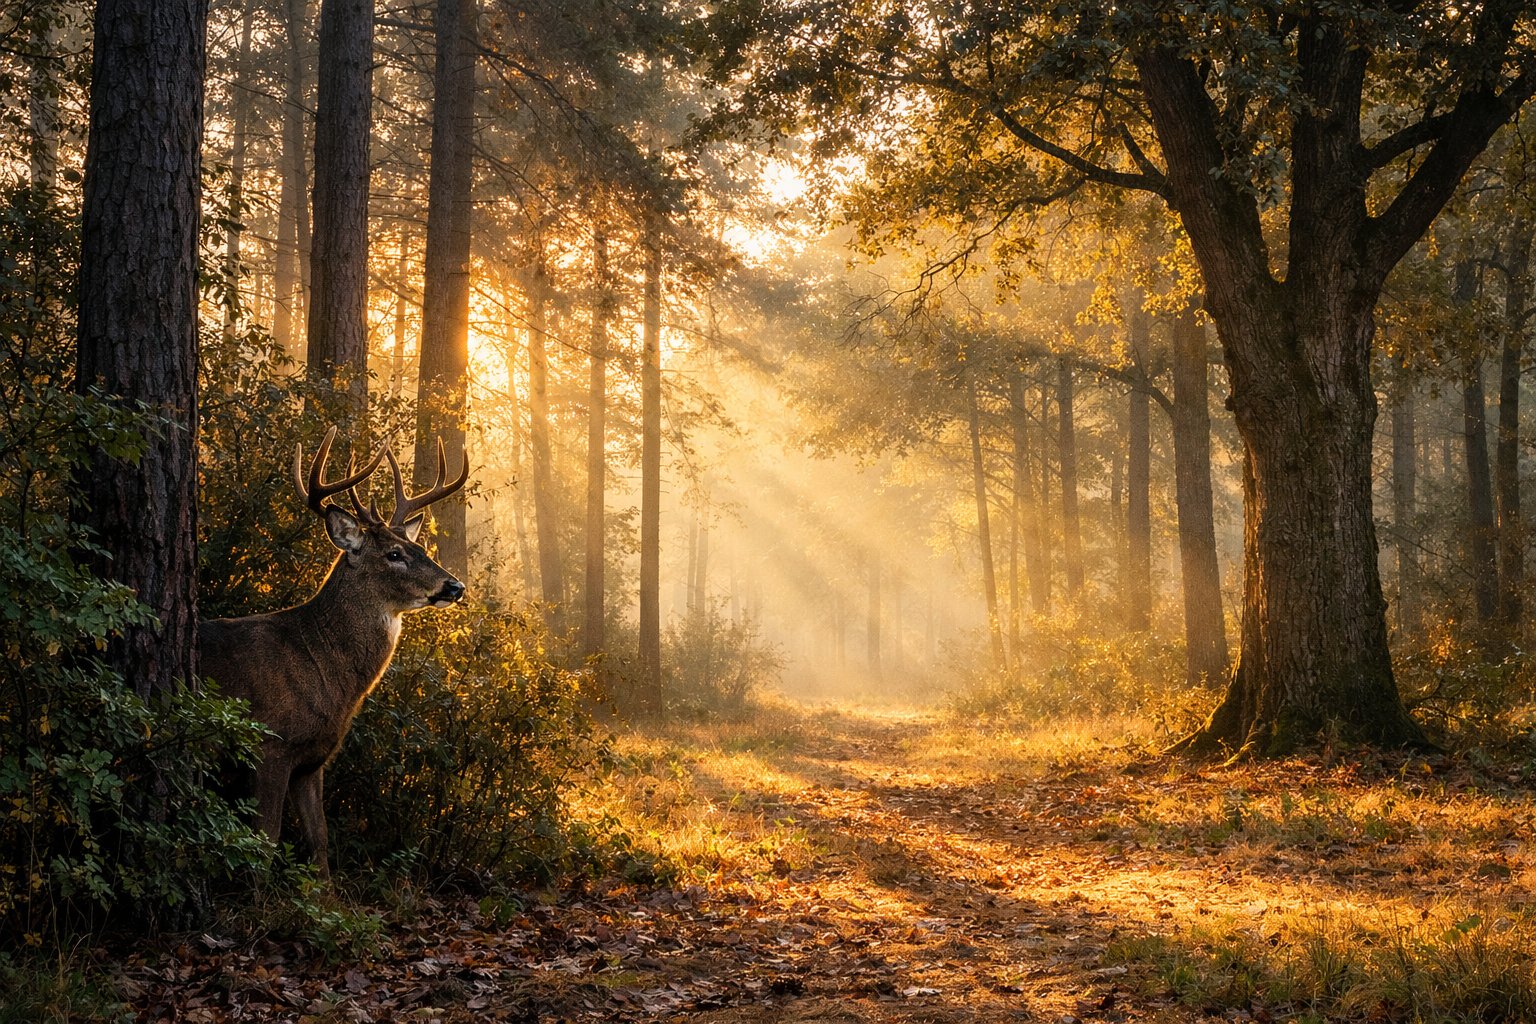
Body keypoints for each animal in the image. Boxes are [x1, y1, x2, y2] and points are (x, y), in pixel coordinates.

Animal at [201, 426, 469, 877]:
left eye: (420, 549)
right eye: (394, 554)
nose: (455, 586)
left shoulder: (315, 759)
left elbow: (321, 841)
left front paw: (324, 892)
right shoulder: (269, 744)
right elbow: (265, 841)